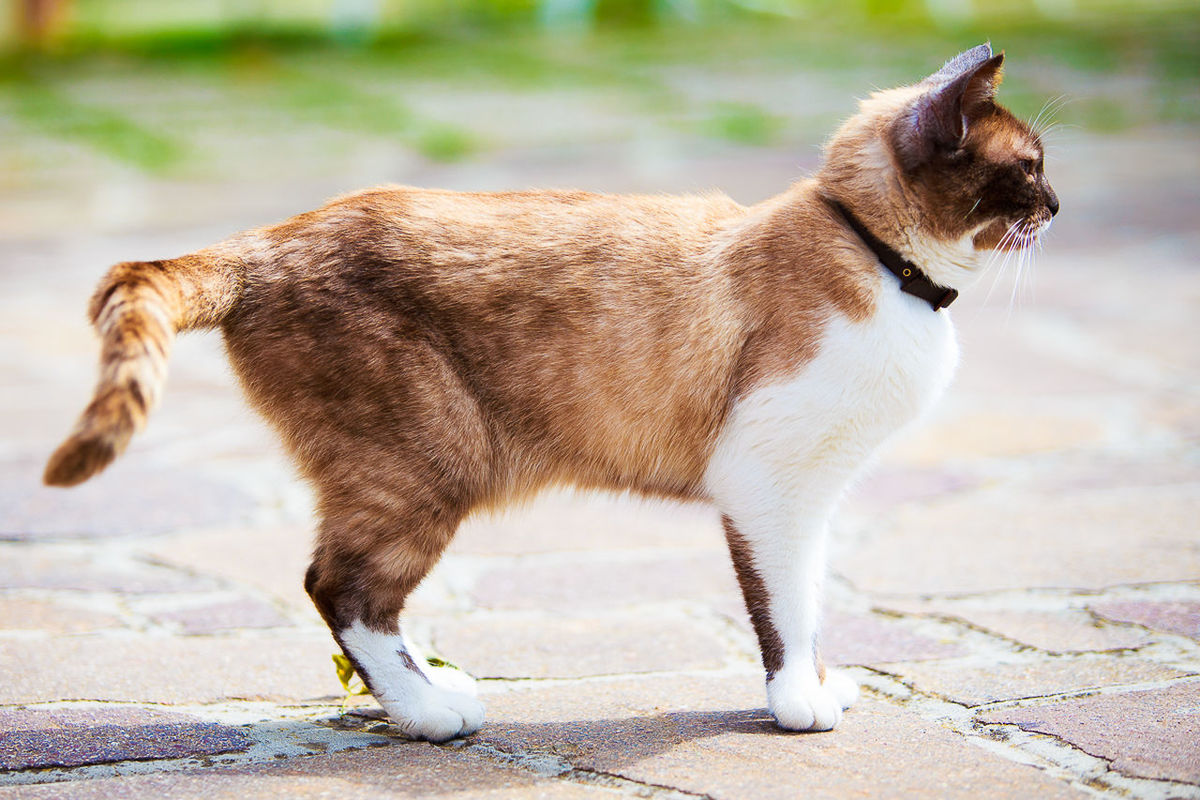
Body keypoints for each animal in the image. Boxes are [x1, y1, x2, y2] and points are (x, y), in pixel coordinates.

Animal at [44, 43, 1060, 743]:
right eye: (1030, 168)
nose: (1057, 209)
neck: (880, 261)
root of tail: (263, 240)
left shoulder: (817, 498)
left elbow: (810, 600)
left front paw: (817, 685)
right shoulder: (769, 487)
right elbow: (787, 609)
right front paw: (796, 705)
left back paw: (433, 692)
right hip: (429, 466)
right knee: (341, 587)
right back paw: (431, 714)